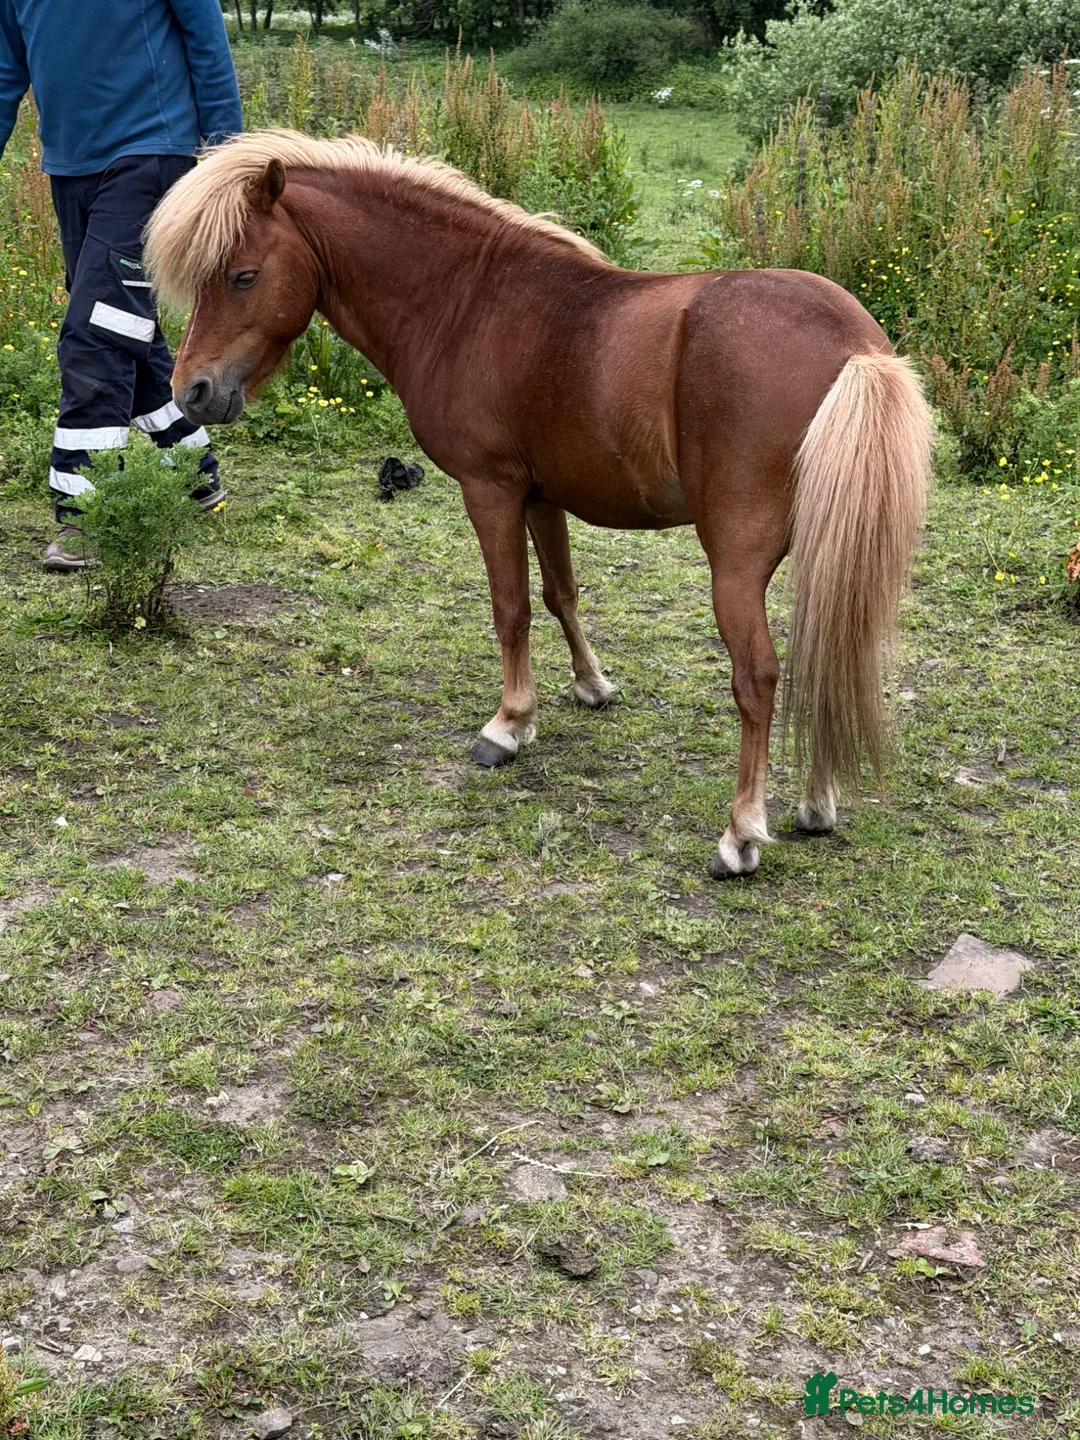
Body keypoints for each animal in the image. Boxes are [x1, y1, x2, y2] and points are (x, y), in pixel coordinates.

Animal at [145, 130, 932, 880]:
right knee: (831, 657)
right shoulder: (542, 497)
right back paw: (816, 803)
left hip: (735, 565)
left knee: (761, 678)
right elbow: (561, 594)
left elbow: (511, 608)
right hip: (829, 555)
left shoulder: (490, 490)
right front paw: (592, 686)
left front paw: (509, 725)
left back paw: (741, 834)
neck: (464, 300)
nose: (192, 392)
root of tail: (856, 349)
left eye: (243, 275)